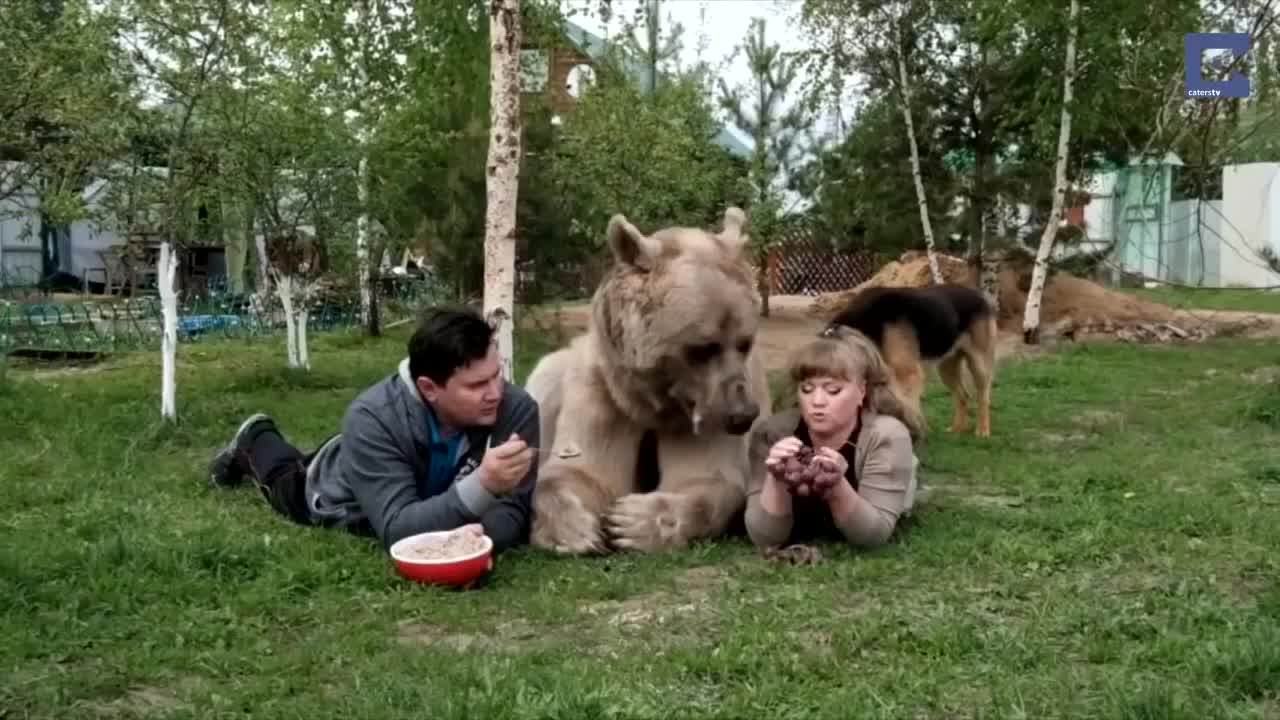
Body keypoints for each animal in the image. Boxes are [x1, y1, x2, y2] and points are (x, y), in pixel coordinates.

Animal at [527, 204, 773, 550]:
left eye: (745, 342)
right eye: (703, 347)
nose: (742, 415)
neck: (652, 400)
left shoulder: (699, 413)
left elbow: (704, 478)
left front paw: (632, 521)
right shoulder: (603, 389)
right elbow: (582, 470)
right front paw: (577, 528)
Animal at [829, 283, 998, 435]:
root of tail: (979, 295)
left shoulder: (907, 376)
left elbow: (908, 412)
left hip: (979, 365)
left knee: (983, 397)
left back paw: (982, 430)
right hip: (946, 368)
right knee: (963, 396)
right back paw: (957, 429)